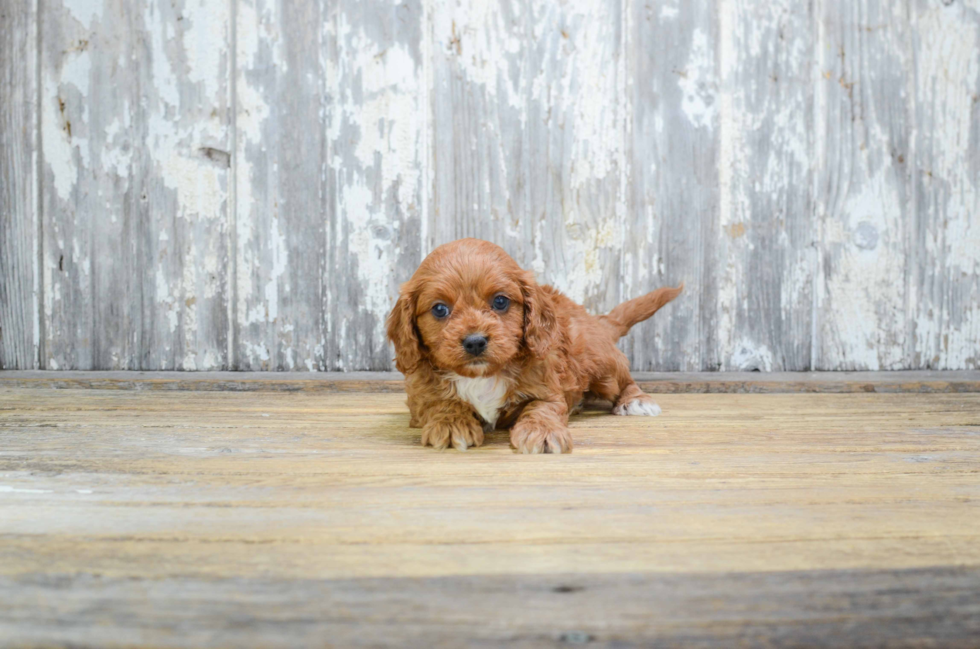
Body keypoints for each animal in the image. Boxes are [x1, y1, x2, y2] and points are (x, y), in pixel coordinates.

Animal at [384, 235, 680, 454]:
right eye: (439, 309)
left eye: (500, 301)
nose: (475, 342)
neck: (482, 375)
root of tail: (594, 318)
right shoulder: (420, 395)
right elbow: (440, 403)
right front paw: (450, 422)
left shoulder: (548, 388)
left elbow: (541, 408)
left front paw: (543, 431)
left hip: (600, 362)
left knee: (624, 378)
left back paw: (636, 401)